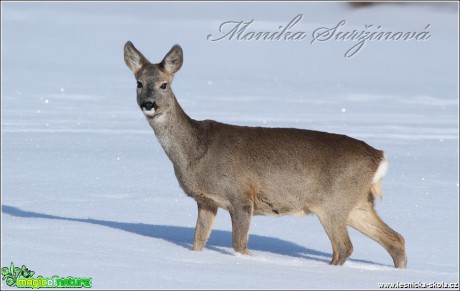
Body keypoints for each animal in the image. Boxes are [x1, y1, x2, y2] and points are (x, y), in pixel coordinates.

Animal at [124, 41, 408, 270]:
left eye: (164, 84)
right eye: (139, 83)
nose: (149, 104)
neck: (195, 151)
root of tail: (379, 157)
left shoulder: (240, 196)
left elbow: (239, 246)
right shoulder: (206, 200)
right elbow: (198, 242)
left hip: (333, 204)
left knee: (345, 247)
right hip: (357, 203)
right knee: (396, 239)